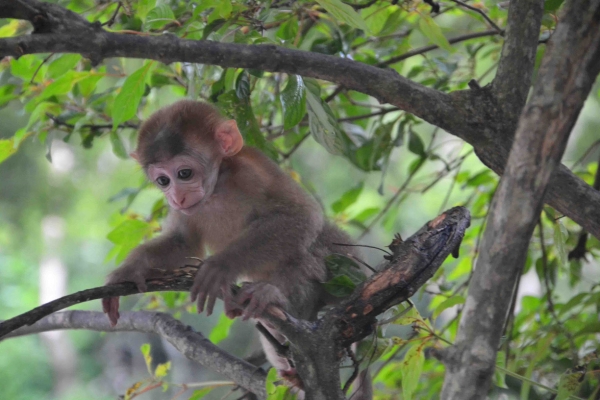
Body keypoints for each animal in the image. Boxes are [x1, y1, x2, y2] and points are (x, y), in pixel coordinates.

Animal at [101, 101, 364, 390]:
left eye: (184, 173)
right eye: (163, 181)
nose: (177, 197)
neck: (218, 187)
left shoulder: (250, 174)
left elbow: (302, 215)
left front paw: (220, 267)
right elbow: (183, 243)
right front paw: (130, 269)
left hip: (345, 267)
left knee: (311, 245)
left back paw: (272, 295)